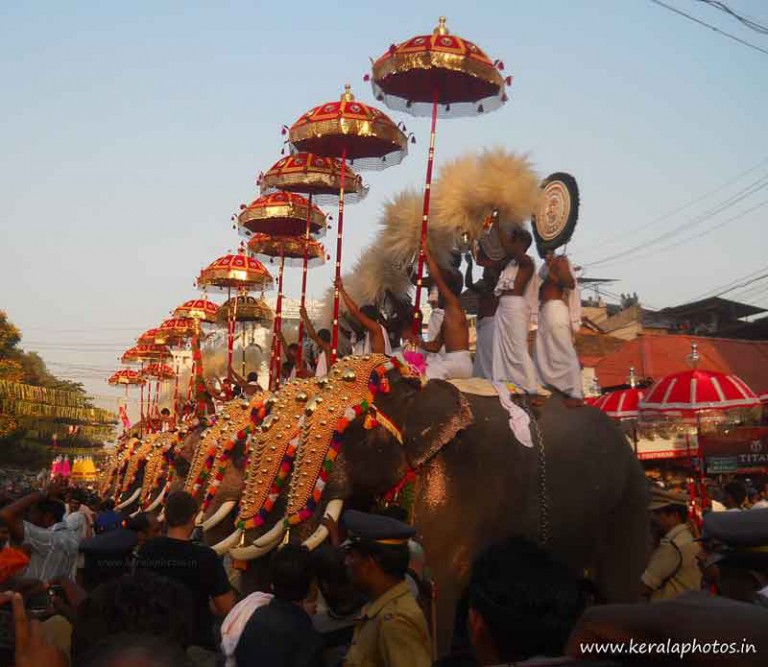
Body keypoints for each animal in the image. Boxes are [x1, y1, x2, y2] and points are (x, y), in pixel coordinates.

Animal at [213, 358, 652, 656]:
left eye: (352, 432)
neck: (417, 390)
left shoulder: (465, 480)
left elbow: (438, 583)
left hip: (627, 504)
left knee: (620, 589)